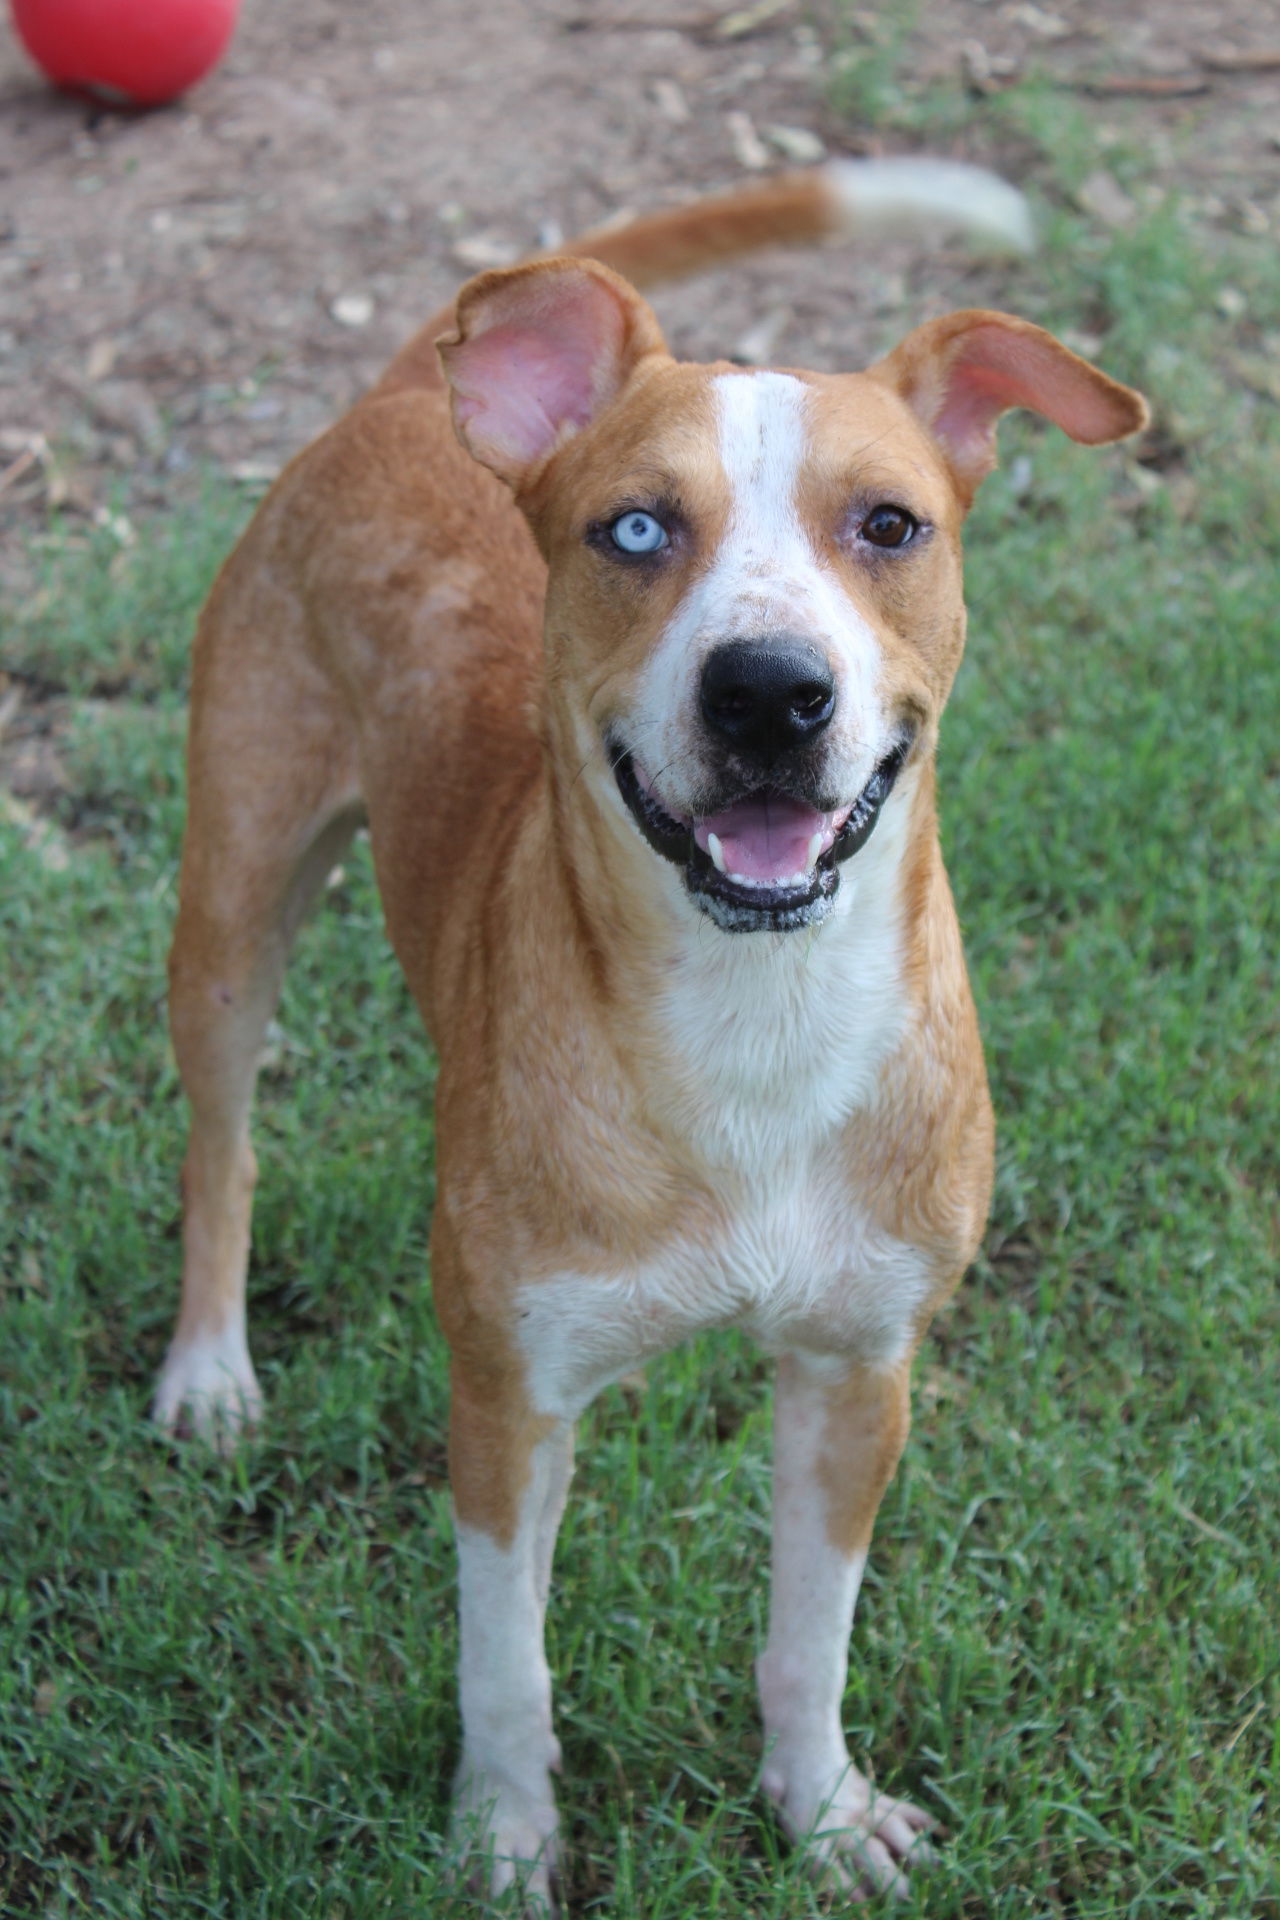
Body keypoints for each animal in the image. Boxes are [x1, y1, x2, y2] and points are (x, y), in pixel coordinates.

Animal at [152, 161, 1151, 1904]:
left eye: (890, 525)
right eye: (632, 527)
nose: (770, 692)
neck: (756, 1019)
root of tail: (407, 395)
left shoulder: (858, 1374)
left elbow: (810, 1640)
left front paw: (821, 1812)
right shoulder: (508, 1402)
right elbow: (505, 1662)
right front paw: (503, 1839)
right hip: (232, 896)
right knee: (225, 1142)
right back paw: (209, 1370)